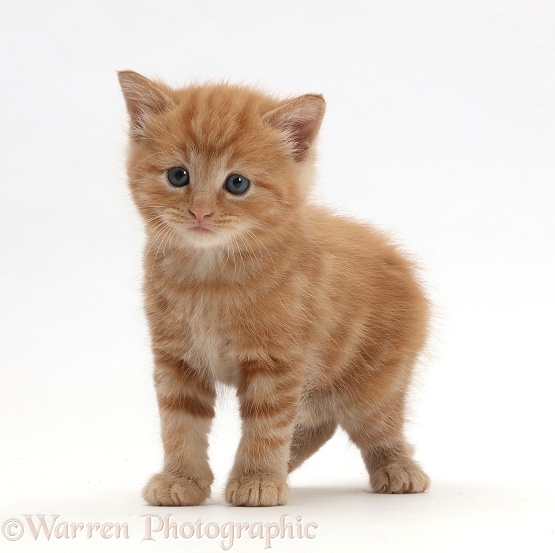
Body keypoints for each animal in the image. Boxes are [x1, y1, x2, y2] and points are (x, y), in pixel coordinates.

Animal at [117, 71, 430, 506]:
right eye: (178, 175)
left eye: (237, 183)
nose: (200, 212)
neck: (209, 278)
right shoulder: (177, 359)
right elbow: (179, 424)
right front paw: (183, 480)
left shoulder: (278, 362)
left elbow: (266, 427)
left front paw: (257, 481)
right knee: (318, 424)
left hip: (376, 383)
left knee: (379, 427)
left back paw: (398, 470)